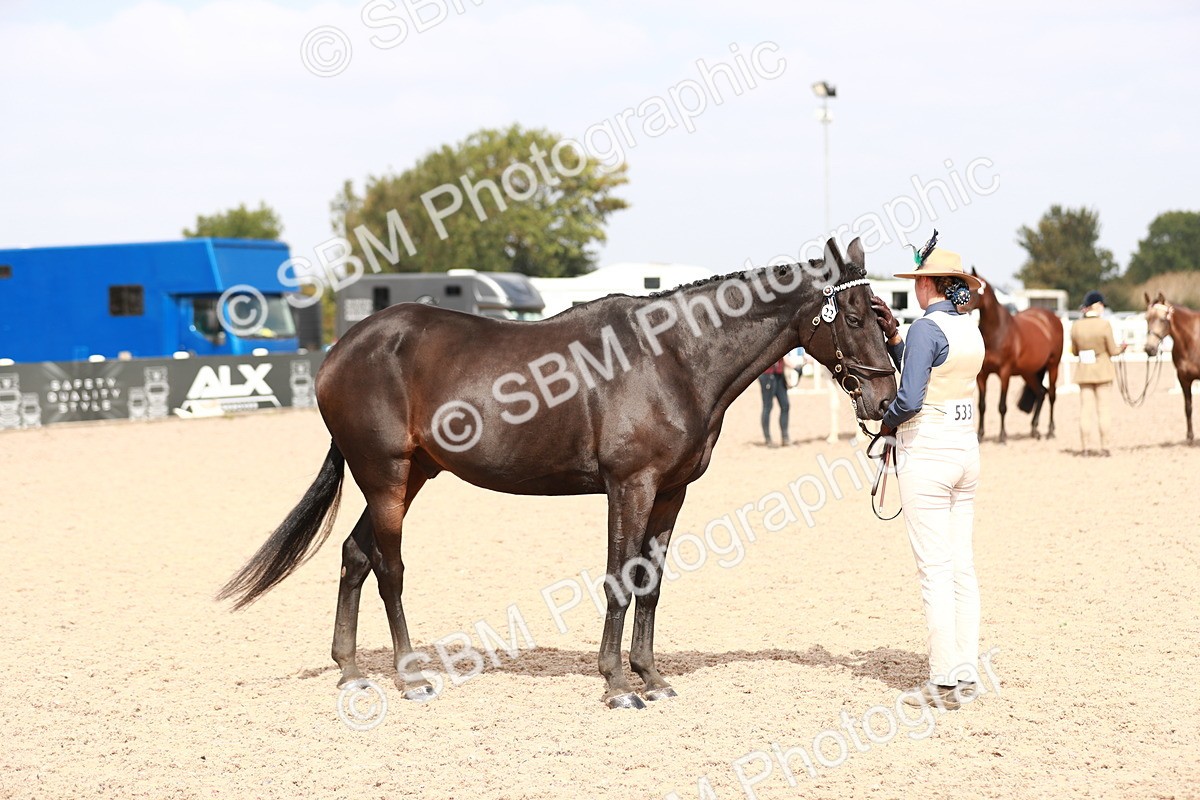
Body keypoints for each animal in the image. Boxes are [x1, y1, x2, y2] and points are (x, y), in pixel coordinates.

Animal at [218, 237, 898, 710]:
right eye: (855, 317)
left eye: (883, 314)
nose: (886, 399)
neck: (672, 357)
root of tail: (343, 349)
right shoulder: (630, 486)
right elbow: (620, 580)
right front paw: (618, 685)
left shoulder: (671, 493)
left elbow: (652, 584)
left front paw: (653, 678)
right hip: (385, 476)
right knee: (388, 568)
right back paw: (410, 678)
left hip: (411, 478)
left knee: (355, 554)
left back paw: (353, 670)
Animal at [970, 268, 1064, 443]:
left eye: (976, 288)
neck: (996, 332)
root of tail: (1052, 318)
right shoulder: (982, 375)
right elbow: (982, 406)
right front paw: (980, 435)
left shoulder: (1004, 373)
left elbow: (1002, 406)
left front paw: (1002, 436)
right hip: (1029, 372)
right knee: (1041, 393)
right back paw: (1034, 430)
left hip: (1053, 366)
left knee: (1052, 395)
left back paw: (1050, 431)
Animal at [1144, 292, 1199, 443]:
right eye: (1146, 319)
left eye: (1163, 319)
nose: (1149, 349)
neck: (1191, 339)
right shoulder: (1183, 378)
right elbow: (1188, 408)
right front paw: (1190, 437)